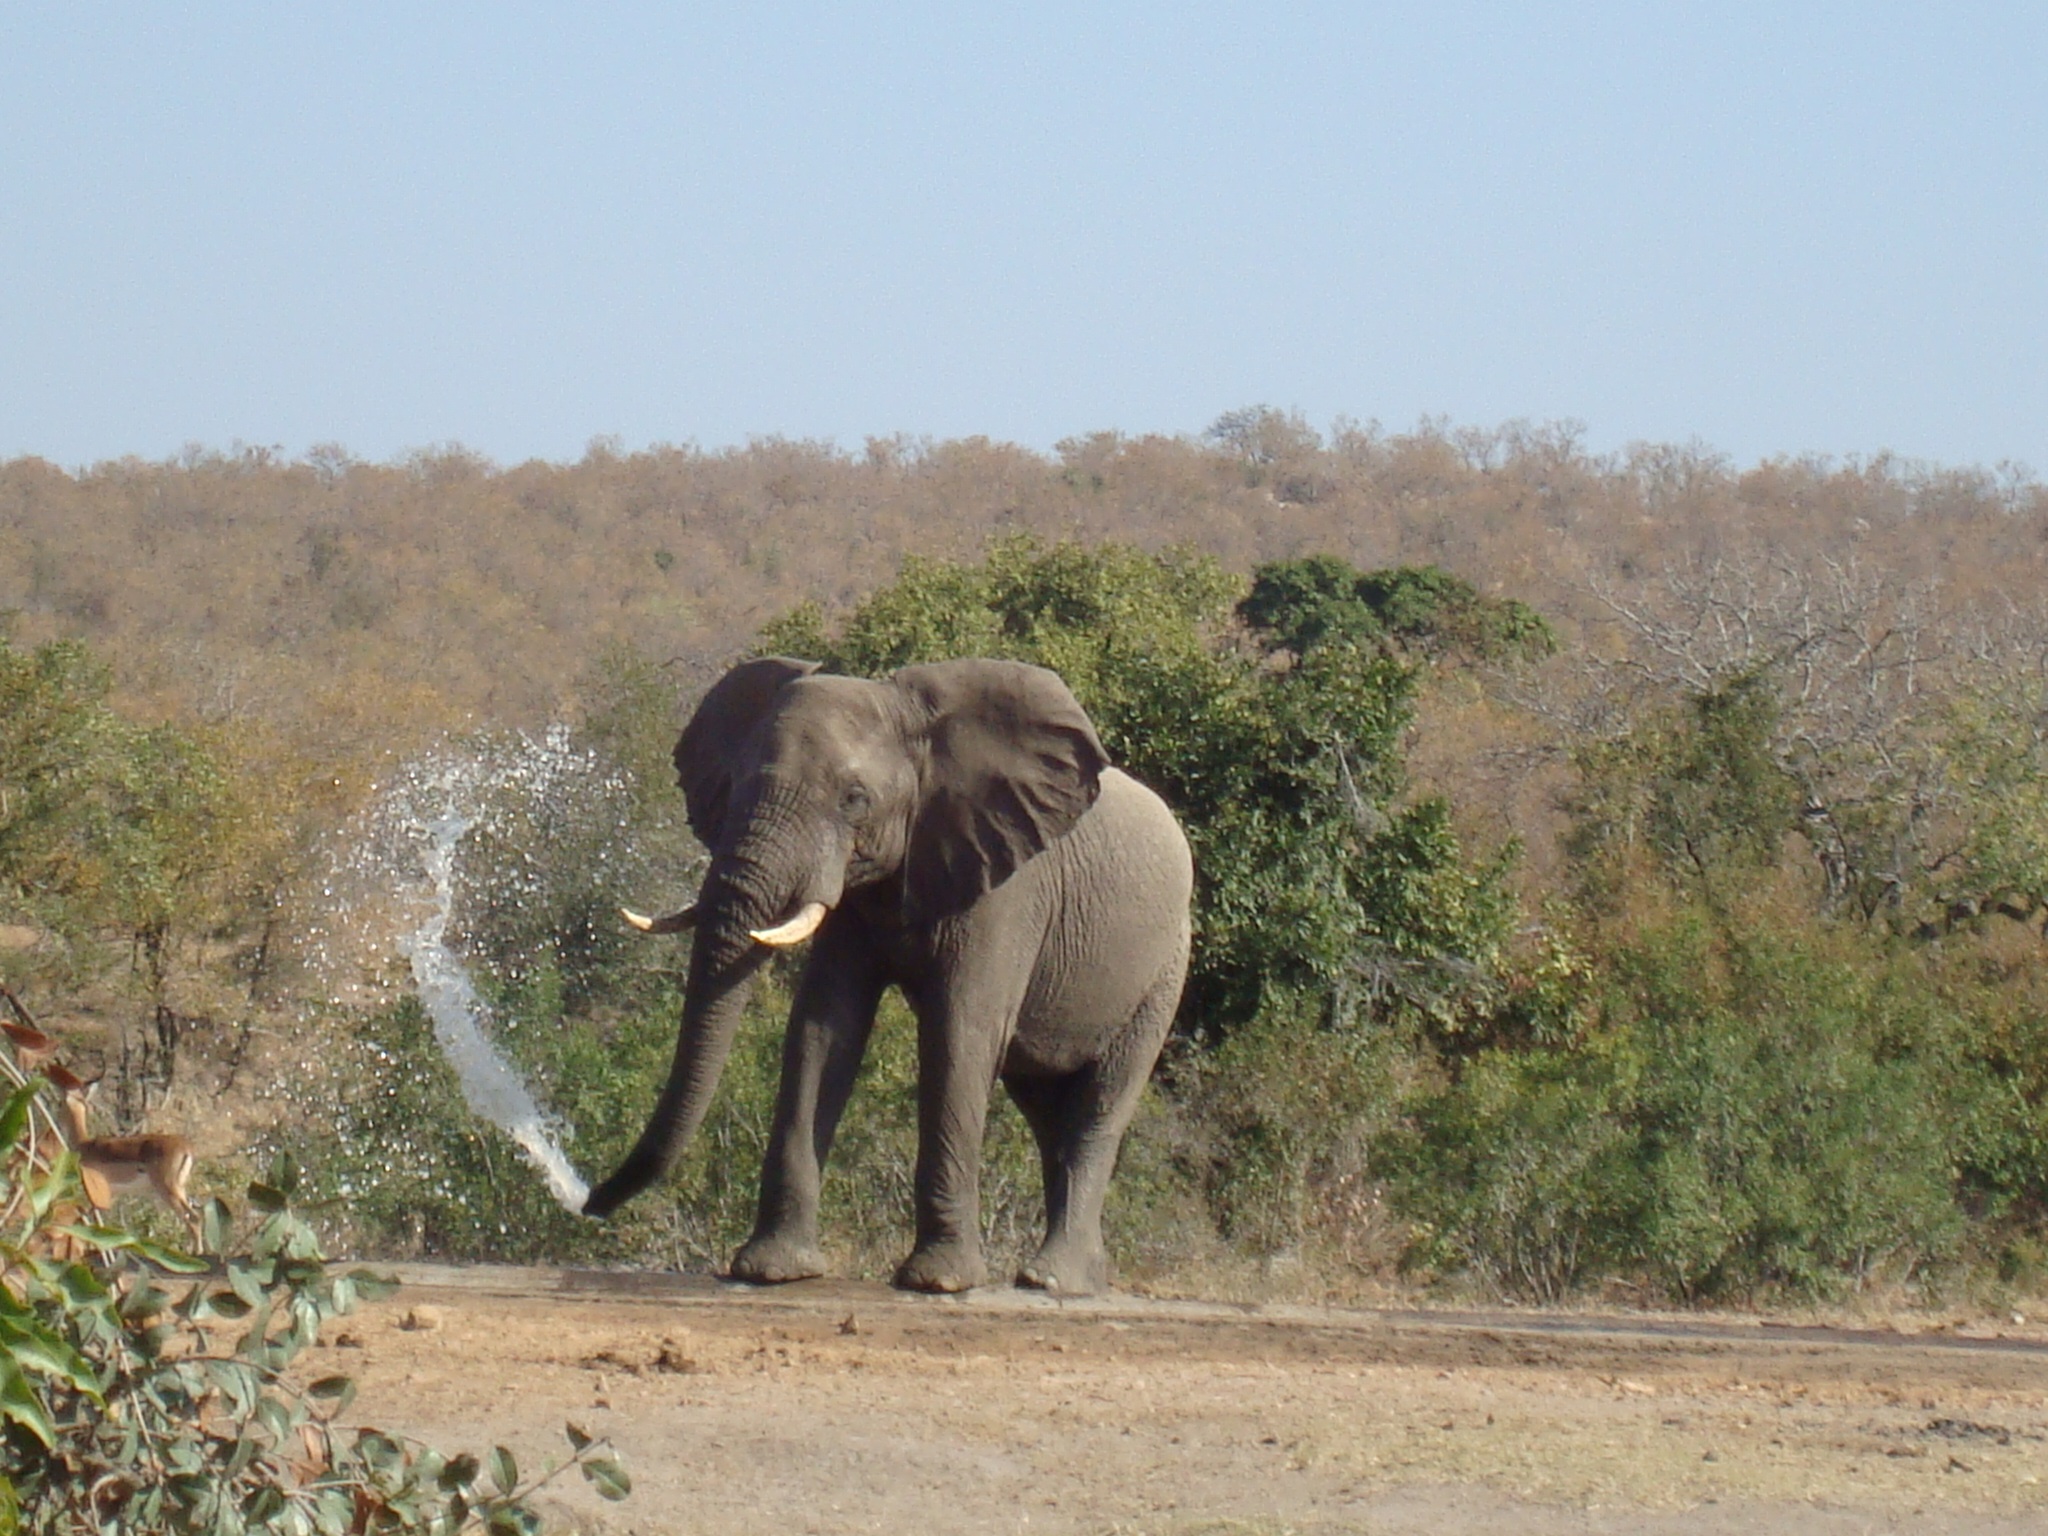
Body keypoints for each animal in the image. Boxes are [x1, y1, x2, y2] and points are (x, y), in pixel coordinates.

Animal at [582, 655, 1192, 1296]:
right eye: (734, 786)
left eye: (855, 798)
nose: (588, 1202)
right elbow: (823, 1028)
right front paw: (772, 1270)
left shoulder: (1007, 887)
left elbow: (959, 1032)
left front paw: (938, 1282)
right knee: (1048, 1109)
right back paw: (1082, 1279)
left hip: (1164, 971)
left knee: (1100, 1105)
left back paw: (1051, 1280)